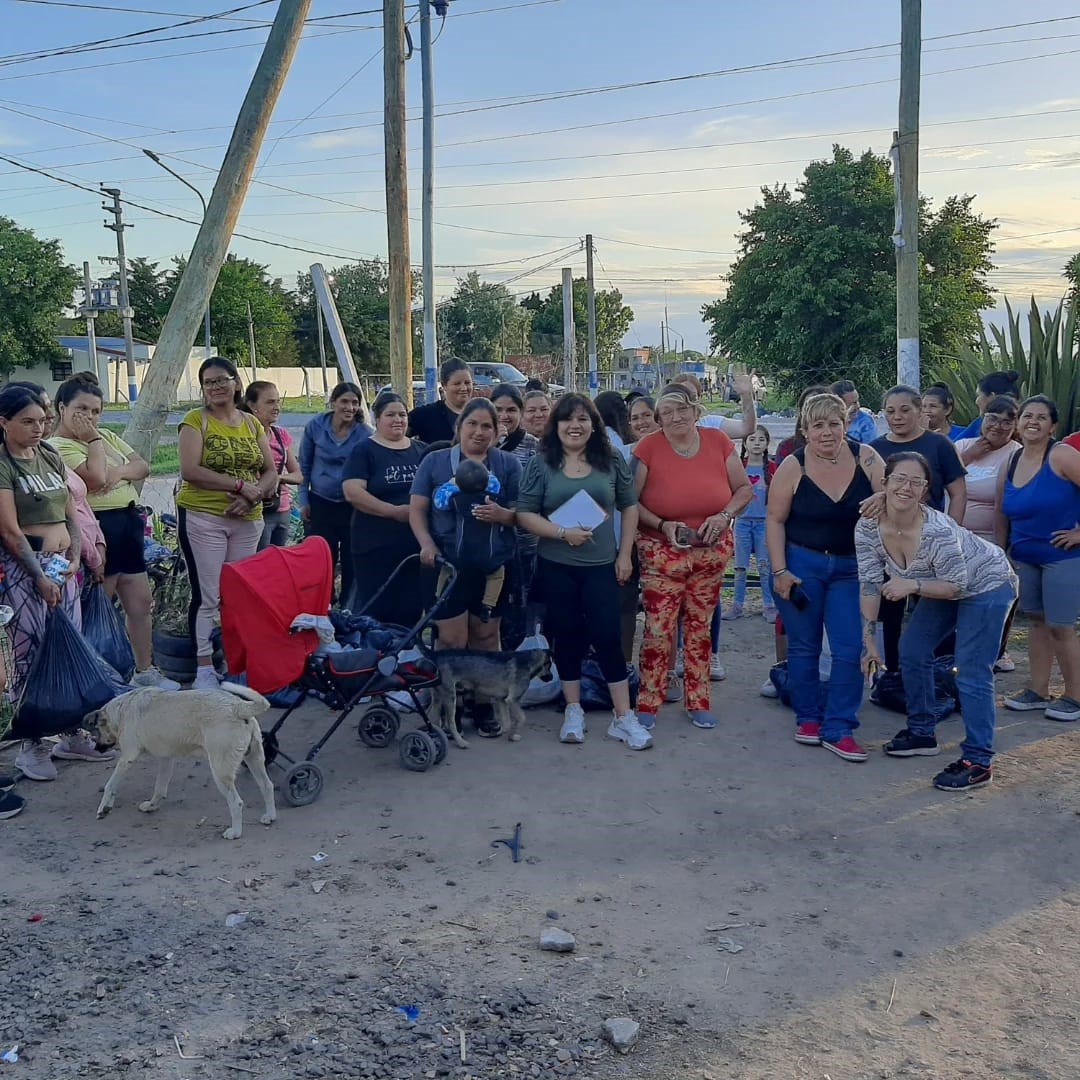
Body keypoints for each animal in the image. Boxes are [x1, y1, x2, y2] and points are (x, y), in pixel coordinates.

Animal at [90, 682, 276, 842]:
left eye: (97, 731)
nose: (96, 748)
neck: (122, 709)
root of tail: (238, 705)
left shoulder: (127, 758)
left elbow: (110, 785)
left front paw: (102, 809)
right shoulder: (166, 760)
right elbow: (159, 788)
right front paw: (151, 806)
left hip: (220, 771)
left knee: (236, 802)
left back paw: (235, 832)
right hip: (254, 759)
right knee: (267, 786)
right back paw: (270, 816)